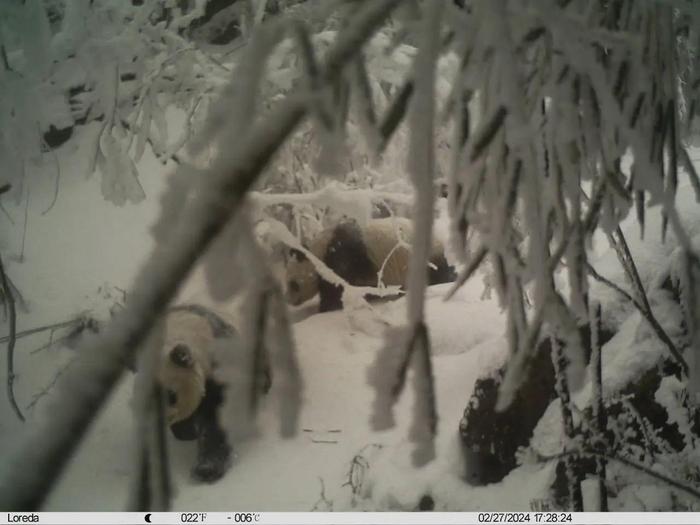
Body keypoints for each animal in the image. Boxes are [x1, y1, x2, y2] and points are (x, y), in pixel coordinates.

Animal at [153, 302, 270, 484]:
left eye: (171, 396)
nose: (160, 420)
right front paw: (184, 432)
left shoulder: (222, 361)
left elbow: (218, 416)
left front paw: (207, 468)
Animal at [284, 216, 454, 312]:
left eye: (293, 284)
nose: (290, 301)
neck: (318, 253)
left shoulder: (339, 259)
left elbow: (337, 288)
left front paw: (326, 308)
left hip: (425, 257)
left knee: (437, 274)